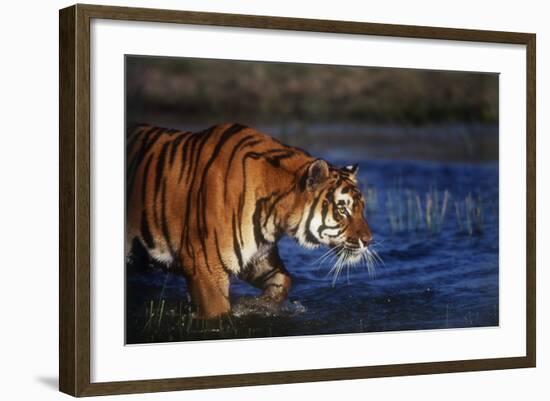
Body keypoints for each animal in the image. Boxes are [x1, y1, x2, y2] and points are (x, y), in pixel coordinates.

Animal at [126, 123, 376, 318]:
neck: (275, 216)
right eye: (342, 209)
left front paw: (258, 305)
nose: (368, 241)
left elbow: (283, 280)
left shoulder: (257, 255)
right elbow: (218, 315)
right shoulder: (204, 265)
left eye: (362, 207)